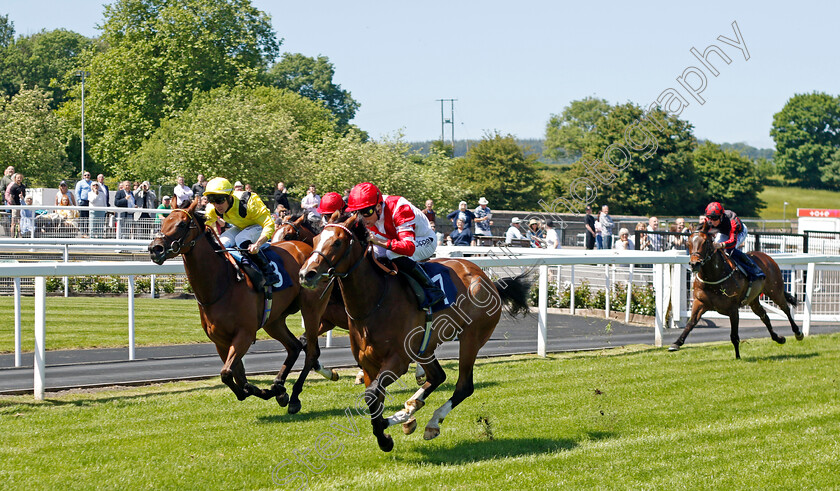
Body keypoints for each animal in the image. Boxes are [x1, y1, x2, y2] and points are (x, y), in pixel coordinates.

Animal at [149, 201, 336, 416]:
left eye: (181, 224)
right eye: (165, 221)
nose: (155, 248)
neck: (222, 283)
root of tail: (310, 249)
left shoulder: (244, 335)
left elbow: (227, 373)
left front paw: (273, 392)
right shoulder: (220, 341)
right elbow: (238, 379)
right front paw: (272, 391)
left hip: (312, 310)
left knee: (311, 351)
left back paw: (295, 397)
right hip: (273, 320)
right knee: (294, 346)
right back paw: (279, 385)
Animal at [298, 215, 528, 454]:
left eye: (337, 242)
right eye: (314, 240)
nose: (306, 274)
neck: (375, 300)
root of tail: (487, 279)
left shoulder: (397, 361)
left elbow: (371, 395)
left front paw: (385, 436)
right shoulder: (368, 362)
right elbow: (374, 398)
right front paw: (387, 430)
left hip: (471, 338)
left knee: (464, 385)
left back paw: (431, 422)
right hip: (425, 346)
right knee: (437, 376)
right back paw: (409, 412)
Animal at [668, 229, 800, 360]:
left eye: (706, 242)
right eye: (688, 243)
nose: (694, 264)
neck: (714, 277)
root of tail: (767, 257)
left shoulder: (733, 309)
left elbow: (734, 335)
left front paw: (738, 356)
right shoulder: (699, 302)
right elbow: (691, 323)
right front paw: (676, 343)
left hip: (775, 291)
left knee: (786, 309)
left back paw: (798, 333)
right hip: (753, 300)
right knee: (764, 316)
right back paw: (778, 338)